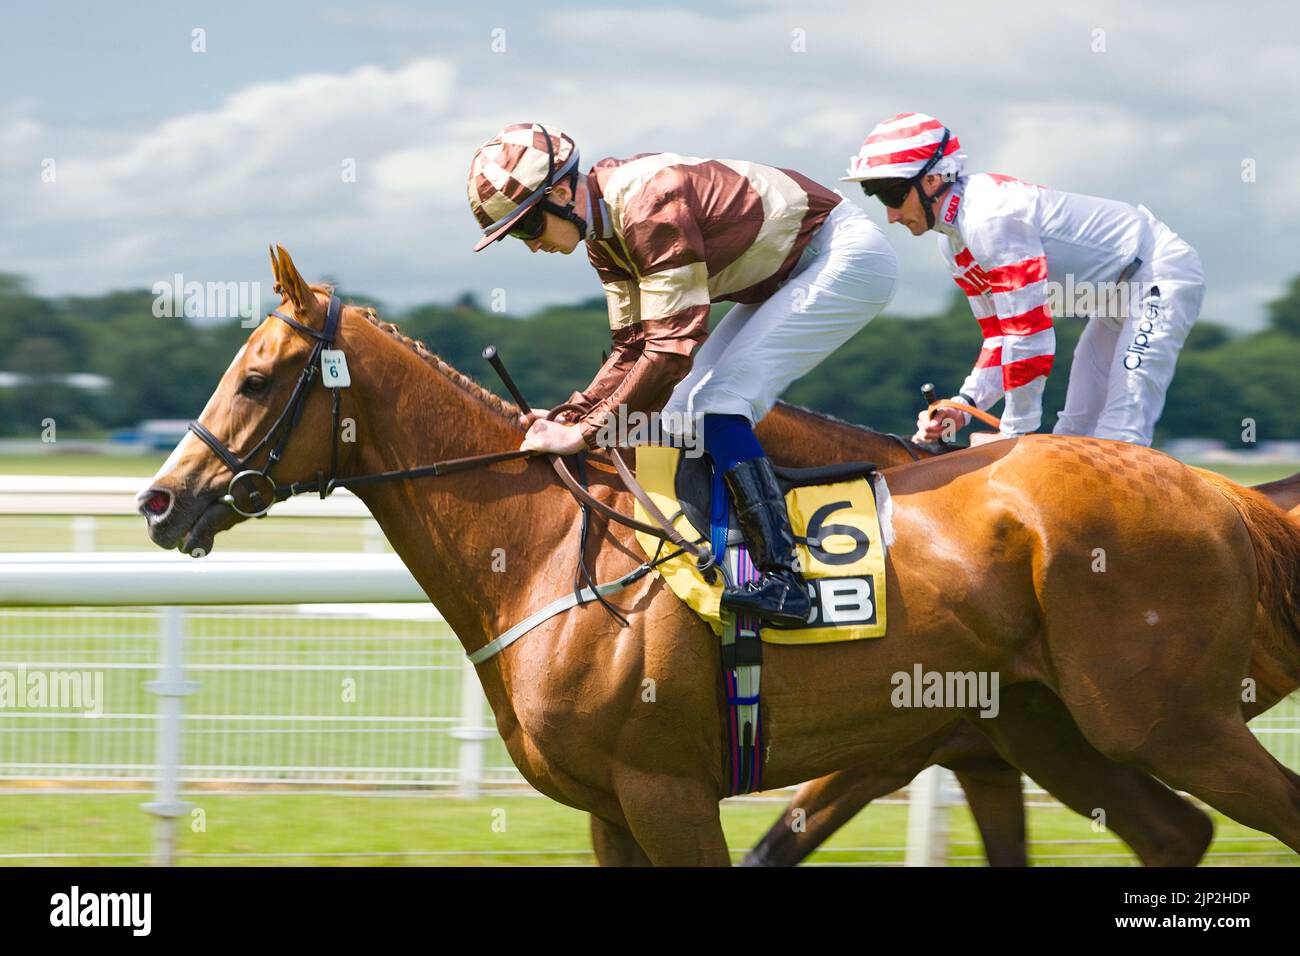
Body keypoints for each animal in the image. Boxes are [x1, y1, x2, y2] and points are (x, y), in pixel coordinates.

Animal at [139, 248, 1300, 868]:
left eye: (254, 378)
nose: (158, 502)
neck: (549, 553)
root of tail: (1218, 490)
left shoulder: (667, 787)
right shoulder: (611, 805)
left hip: (1163, 718)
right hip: (1050, 721)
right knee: (1174, 833)